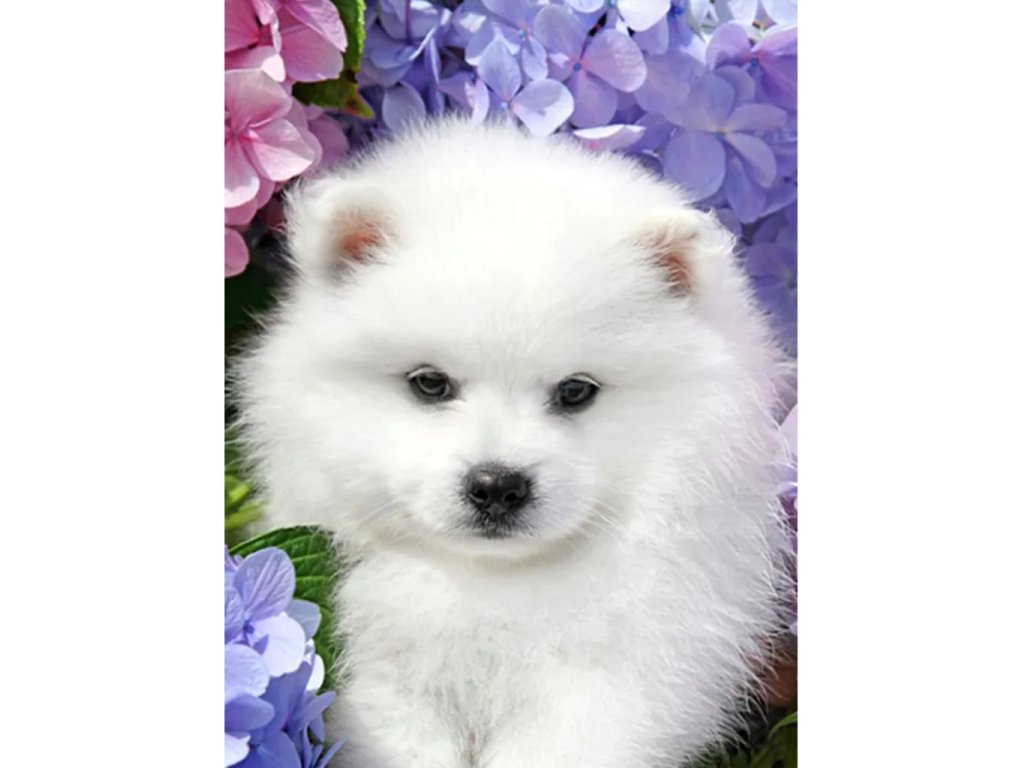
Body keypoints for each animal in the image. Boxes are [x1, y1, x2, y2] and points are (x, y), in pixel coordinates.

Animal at [237, 118, 792, 768]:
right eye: (429, 383)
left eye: (576, 391)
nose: (497, 485)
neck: (490, 583)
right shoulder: (381, 681)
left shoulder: (611, 681)